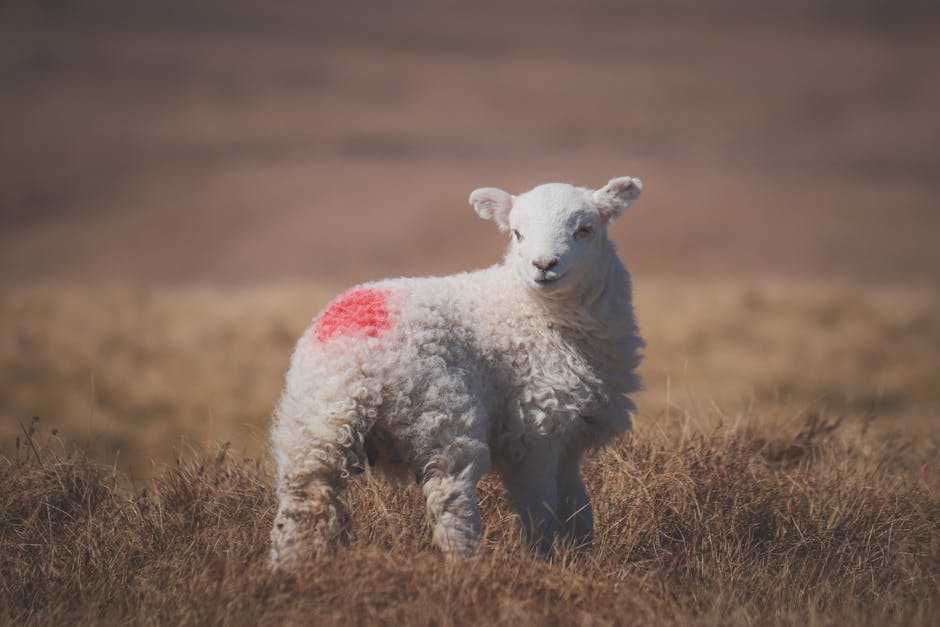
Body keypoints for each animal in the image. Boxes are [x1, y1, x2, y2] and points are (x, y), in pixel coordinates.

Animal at [268, 174, 644, 568]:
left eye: (585, 229)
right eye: (517, 233)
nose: (544, 265)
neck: (532, 310)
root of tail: (361, 361)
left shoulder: (572, 432)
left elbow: (578, 507)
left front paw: (582, 559)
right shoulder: (534, 426)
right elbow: (540, 507)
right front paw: (540, 560)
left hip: (313, 421)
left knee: (305, 499)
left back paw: (288, 568)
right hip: (441, 411)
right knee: (450, 494)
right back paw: (467, 562)